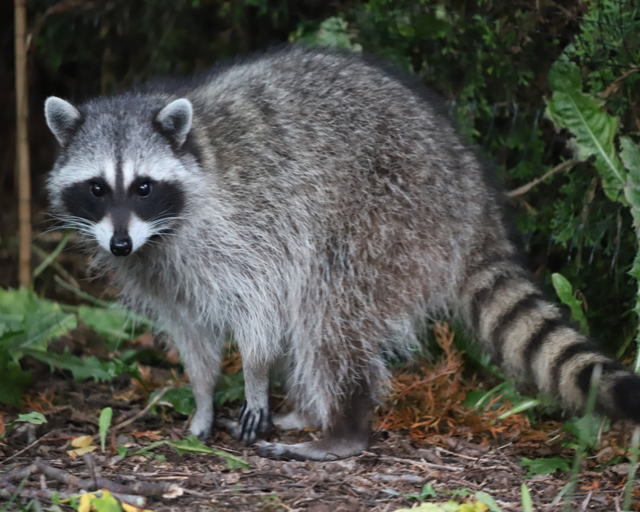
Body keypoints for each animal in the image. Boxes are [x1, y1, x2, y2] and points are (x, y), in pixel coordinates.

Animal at [45, 46, 640, 461]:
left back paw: (343, 429)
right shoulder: (160, 270)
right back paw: (312, 411)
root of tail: (470, 190)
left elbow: (260, 311)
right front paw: (204, 397)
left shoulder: (246, 224)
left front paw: (255, 378)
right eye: (98, 188)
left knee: (329, 313)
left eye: (143, 187)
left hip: (389, 217)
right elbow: (192, 336)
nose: (119, 244)